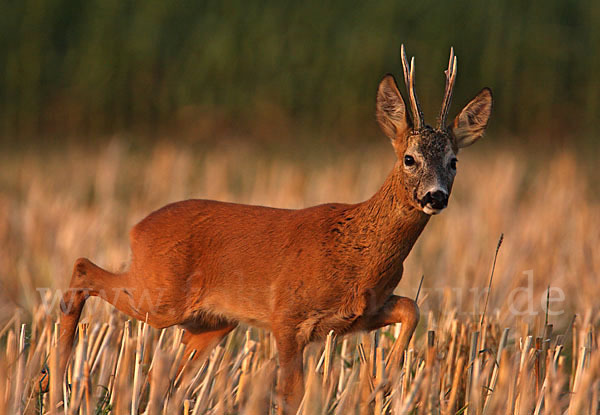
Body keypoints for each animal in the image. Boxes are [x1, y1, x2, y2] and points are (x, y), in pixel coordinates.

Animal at [41, 44, 492, 412]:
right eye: (409, 159)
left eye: (454, 161)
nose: (436, 196)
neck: (354, 248)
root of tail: (138, 228)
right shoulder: (286, 316)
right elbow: (293, 395)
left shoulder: (362, 313)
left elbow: (412, 309)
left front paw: (378, 387)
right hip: (160, 295)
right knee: (82, 269)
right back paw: (57, 382)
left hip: (211, 322)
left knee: (164, 378)